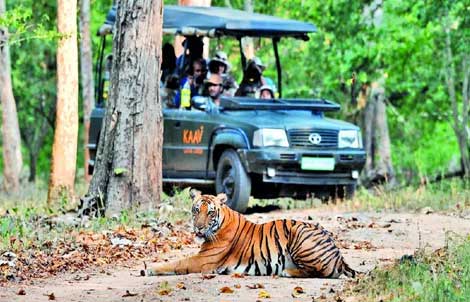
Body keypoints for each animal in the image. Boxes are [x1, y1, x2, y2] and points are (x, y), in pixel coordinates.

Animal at [143, 190, 356, 278]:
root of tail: (339, 255)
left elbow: (177, 262)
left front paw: (150, 268)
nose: (199, 229)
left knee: (321, 272)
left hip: (300, 234)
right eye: (196, 210)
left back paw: (287, 272)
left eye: (210, 212)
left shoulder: (202, 260)